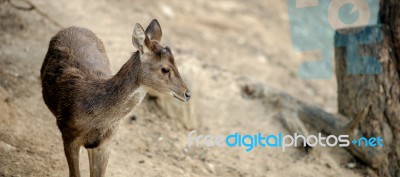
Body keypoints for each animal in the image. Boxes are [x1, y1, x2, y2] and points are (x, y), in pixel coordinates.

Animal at [40, 18, 191, 176]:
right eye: (165, 69)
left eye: (177, 64)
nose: (188, 94)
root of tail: (75, 27)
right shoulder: (68, 134)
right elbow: (75, 174)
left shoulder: (106, 143)